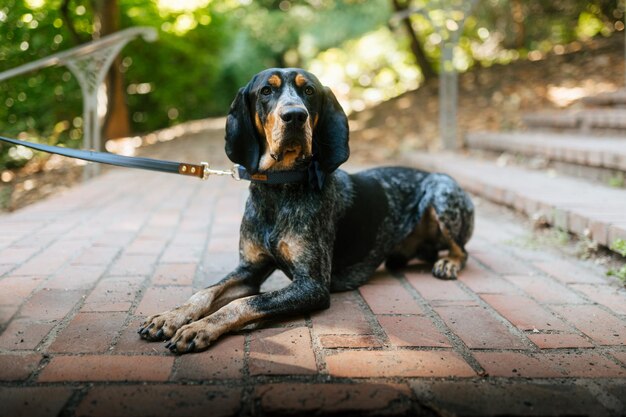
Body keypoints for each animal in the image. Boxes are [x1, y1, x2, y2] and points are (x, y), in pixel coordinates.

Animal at [139, 67, 470, 352]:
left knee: (462, 251)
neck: (278, 187)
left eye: (308, 90)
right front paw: (172, 316)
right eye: (266, 90)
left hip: (443, 194)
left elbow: (245, 303)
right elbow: (206, 291)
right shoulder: (249, 270)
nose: (295, 116)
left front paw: (200, 328)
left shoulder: (312, 285)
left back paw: (448, 263)